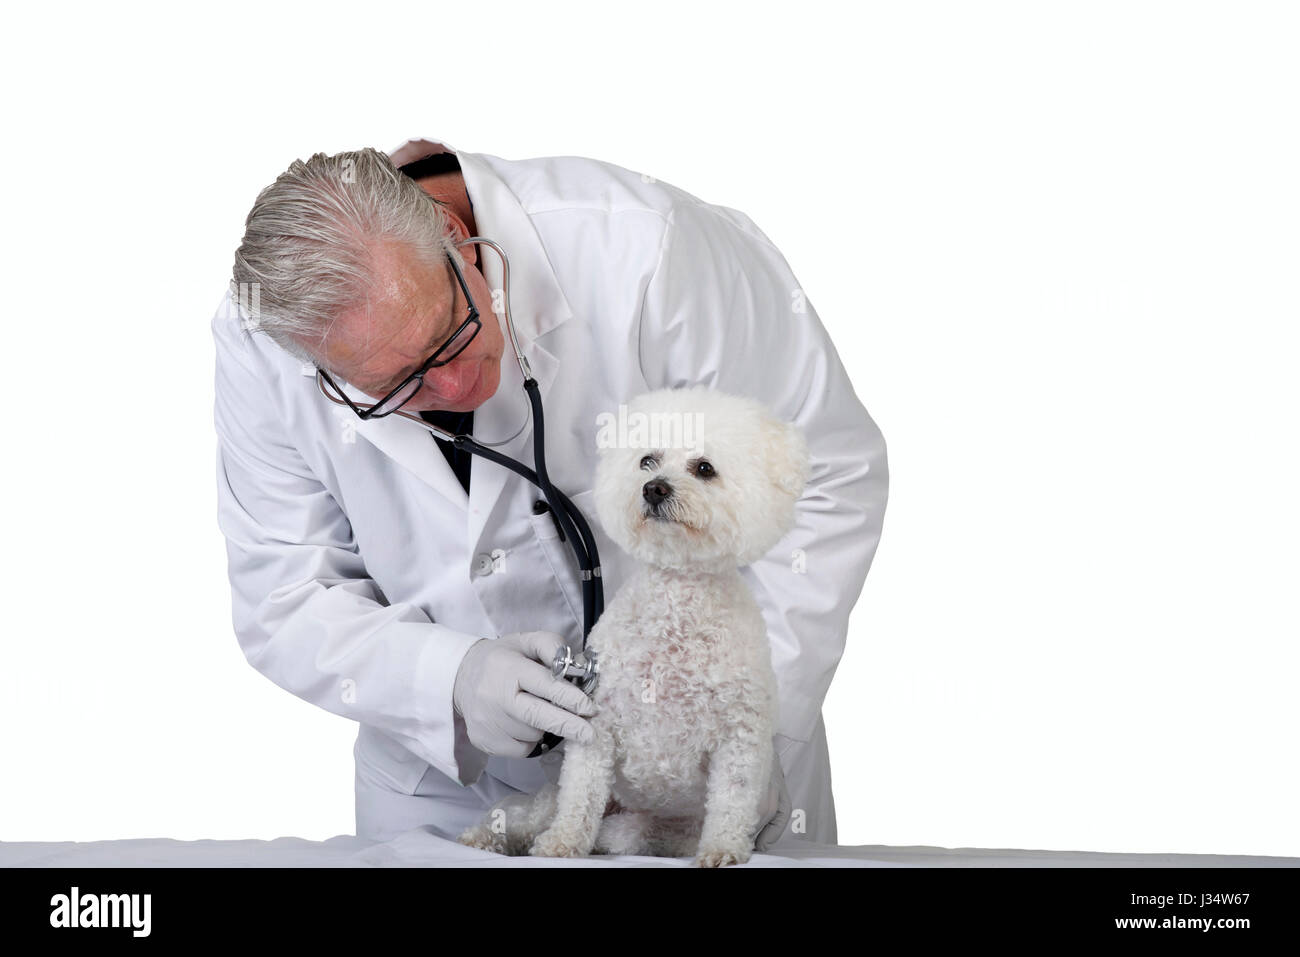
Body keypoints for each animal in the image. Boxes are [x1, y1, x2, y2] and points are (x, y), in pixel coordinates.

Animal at [452, 382, 806, 868]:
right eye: (647, 460)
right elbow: (579, 796)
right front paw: (562, 845)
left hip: (651, 832)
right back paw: (485, 838)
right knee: (533, 817)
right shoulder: (597, 728)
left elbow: (732, 801)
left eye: (705, 468)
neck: (676, 605)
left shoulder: (740, 741)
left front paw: (723, 851)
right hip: (557, 801)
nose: (654, 489)